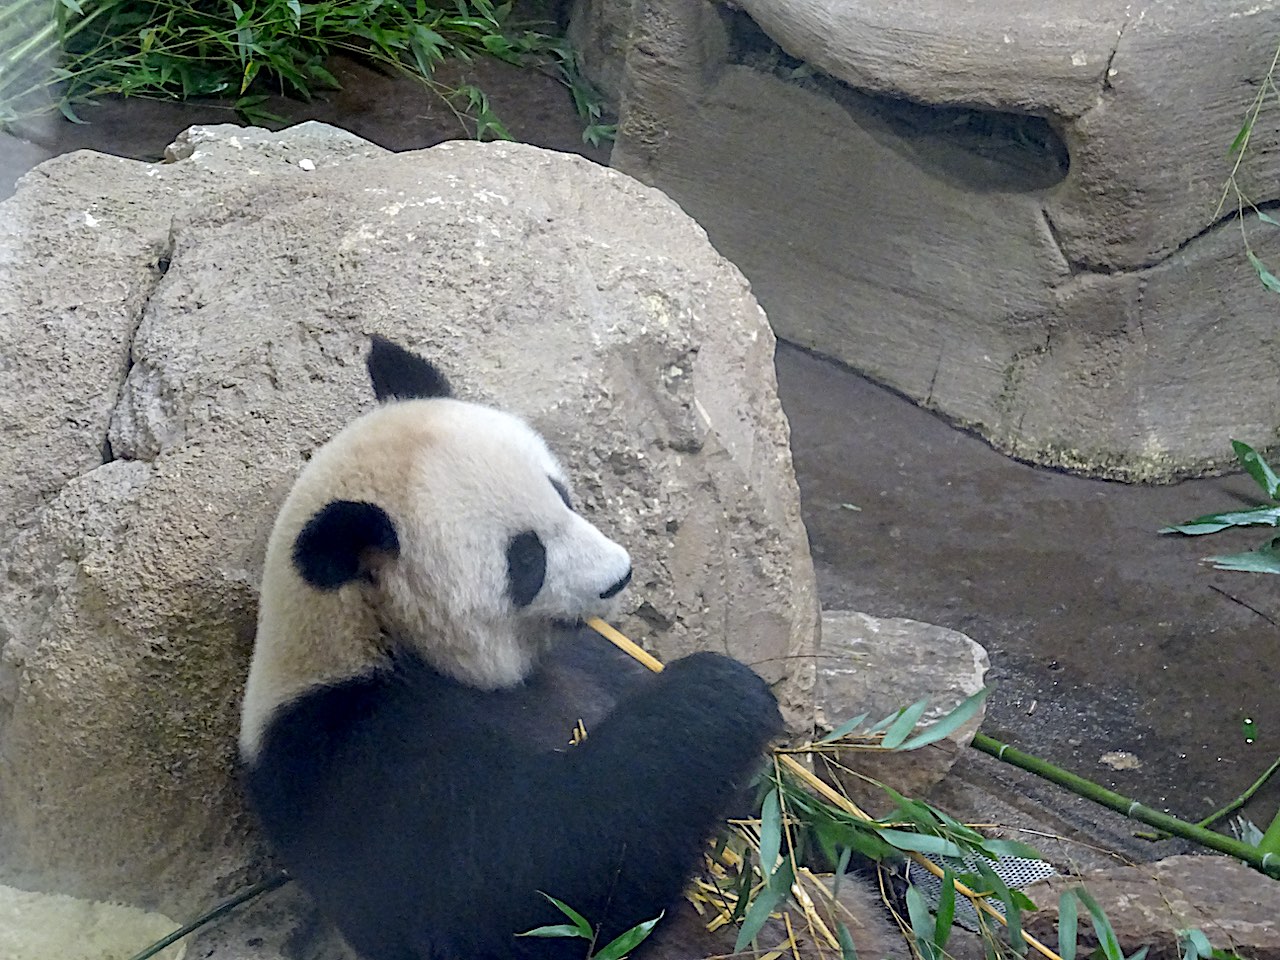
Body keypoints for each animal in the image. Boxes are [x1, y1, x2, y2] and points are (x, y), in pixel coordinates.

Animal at [235, 335, 783, 960]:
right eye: (525, 557)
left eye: (561, 494)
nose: (618, 577)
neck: (382, 638)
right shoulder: (356, 751)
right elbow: (520, 891)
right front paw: (722, 692)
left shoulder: (587, 659)